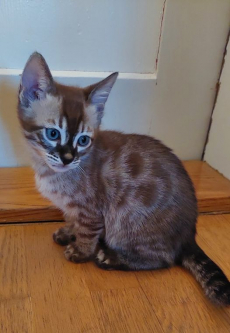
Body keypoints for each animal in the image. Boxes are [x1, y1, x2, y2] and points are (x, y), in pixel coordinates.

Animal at [17, 52, 230, 306]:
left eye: (83, 140)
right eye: (52, 134)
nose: (68, 158)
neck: (53, 173)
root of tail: (189, 235)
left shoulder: (92, 211)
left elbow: (87, 231)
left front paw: (80, 251)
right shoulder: (72, 208)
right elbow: (73, 221)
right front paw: (68, 232)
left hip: (129, 225)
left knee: (165, 259)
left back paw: (110, 258)